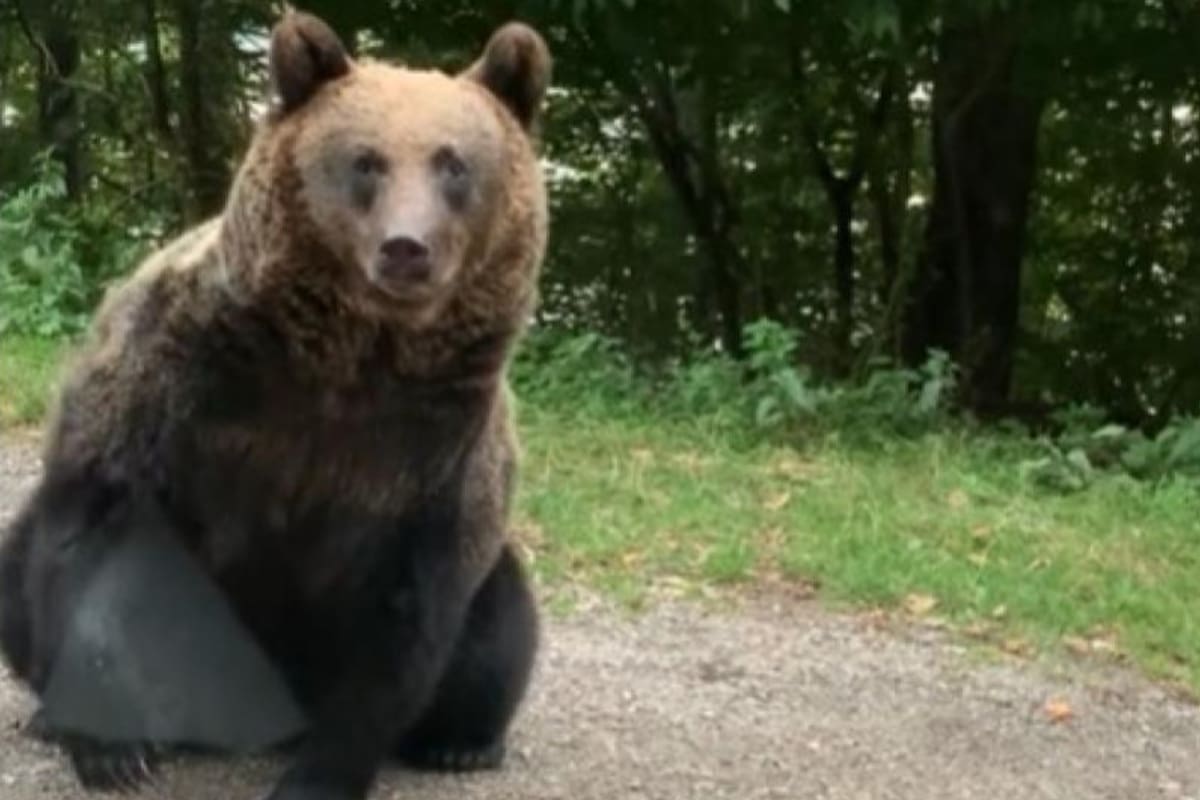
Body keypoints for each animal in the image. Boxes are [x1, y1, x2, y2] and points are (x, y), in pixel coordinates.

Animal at [0, 8, 551, 800]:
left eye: (453, 163)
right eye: (366, 161)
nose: (405, 248)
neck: (344, 359)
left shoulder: (431, 450)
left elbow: (408, 618)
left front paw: (318, 776)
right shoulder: (179, 388)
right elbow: (98, 534)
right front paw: (113, 750)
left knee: (498, 623)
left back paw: (463, 742)